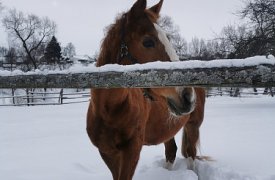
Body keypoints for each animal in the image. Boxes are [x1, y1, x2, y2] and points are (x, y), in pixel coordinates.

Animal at [87, 0, 206, 179]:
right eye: (148, 42)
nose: (188, 96)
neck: (109, 111)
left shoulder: (132, 152)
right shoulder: (108, 153)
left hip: (193, 126)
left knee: (191, 154)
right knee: (171, 151)